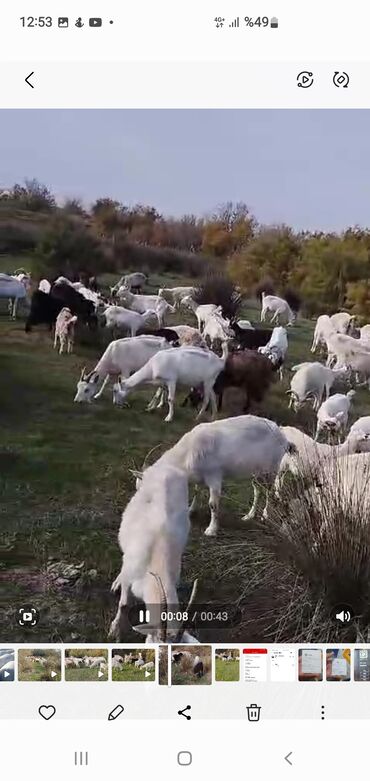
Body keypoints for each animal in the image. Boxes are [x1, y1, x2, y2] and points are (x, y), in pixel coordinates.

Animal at [137, 414, 296, 536]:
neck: (189, 452)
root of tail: (285, 439)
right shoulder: (200, 476)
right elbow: (196, 491)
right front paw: (190, 510)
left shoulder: (214, 476)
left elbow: (213, 504)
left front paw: (211, 530)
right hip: (256, 473)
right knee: (258, 490)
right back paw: (249, 516)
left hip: (271, 469)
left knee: (269, 491)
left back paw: (265, 515)